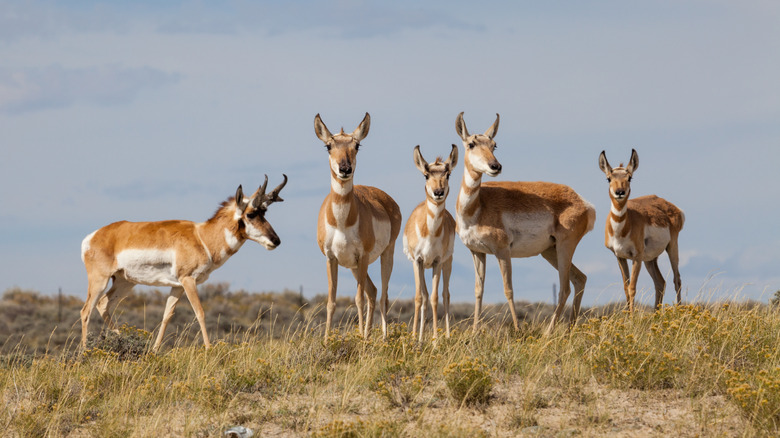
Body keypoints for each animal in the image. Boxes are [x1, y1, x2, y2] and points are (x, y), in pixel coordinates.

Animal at [80, 175, 286, 352]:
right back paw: (84, 353)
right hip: (100, 280)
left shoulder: (177, 286)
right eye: (251, 214)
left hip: (125, 282)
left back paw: (122, 341)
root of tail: (93, 236)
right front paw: (208, 349)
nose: (276, 241)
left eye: (264, 212)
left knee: (103, 305)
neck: (202, 237)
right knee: (86, 310)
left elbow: (167, 315)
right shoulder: (188, 280)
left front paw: (154, 350)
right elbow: (200, 312)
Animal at [314, 113, 402, 338]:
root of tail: (386, 198)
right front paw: (326, 341)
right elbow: (331, 302)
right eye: (328, 145)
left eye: (357, 145)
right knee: (373, 291)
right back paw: (369, 334)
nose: (345, 169)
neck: (342, 222)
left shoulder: (362, 257)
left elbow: (358, 299)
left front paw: (361, 339)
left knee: (382, 295)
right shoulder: (331, 258)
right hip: (353, 266)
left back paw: (382, 338)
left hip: (386, 255)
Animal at [402, 145, 458, 342]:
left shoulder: (436, 262)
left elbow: (435, 298)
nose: (438, 192)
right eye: (426, 175)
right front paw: (414, 339)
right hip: (423, 266)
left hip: (447, 263)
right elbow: (420, 298)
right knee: (425, 297)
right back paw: (419, 338)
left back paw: (447, 336)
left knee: (445, 294)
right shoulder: (417, 261)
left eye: (448, 174)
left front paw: (435, 340)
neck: (430, 232)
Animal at [454, 112, 596, 332]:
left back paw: (548, 333)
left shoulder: (503, 251)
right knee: (579, 279)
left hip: (565, 246)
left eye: (494, 145)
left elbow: (508, 289)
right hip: (550, 251)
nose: (495, 166)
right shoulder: (477, 252)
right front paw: (475, 332)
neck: (477, 206)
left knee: (564, 288)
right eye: (471, 144)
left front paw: (518, 330)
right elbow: (478, 290)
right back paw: (569, 329)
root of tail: (582, 201)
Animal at [596, 150, 684, 312]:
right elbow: (626, 288)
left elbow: (632, 288)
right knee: (660, 282)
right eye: (608, 178)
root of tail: (668, 204)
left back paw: (679, 311)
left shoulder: (636, 257)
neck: (622, 229)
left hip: (672, 247)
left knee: (677, 279)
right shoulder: (620, 257)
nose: (620, 192)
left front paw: (631, 317)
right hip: (650, 259)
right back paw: (656, 314)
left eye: (629, 177)